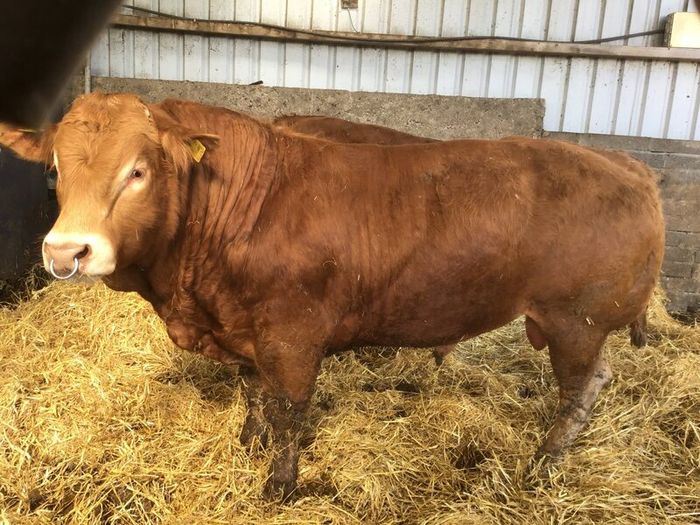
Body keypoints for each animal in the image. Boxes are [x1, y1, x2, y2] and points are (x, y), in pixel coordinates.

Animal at [0, 92, 664, 501]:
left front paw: (279, 486)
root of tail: (624, 163)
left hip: (577, 321)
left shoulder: (292, 334)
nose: (66, 252)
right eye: (56, 170)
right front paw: (248, 446)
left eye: (138, 170)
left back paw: (542, 464)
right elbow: (255, 394)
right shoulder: (244, 326)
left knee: (581, 391)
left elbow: (289, 411)